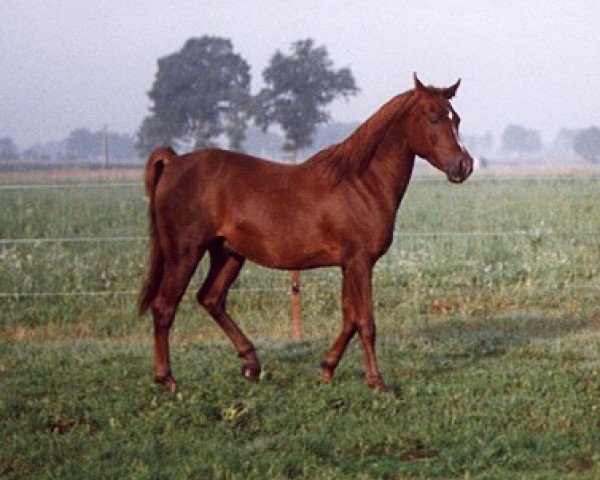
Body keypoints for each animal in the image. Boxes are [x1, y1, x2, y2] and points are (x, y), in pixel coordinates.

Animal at [139, 73, 474, 392]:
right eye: (433, 116)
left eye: (456, 118)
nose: (464, 165)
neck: (361, 183)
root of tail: (174, 162)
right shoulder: (360, 263)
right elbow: (365, 322)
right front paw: (377, 382)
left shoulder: (348, 265)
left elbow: (349, 319)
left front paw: (326, 371)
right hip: (184, 253)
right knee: (164, 308)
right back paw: (167, 379)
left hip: (228, 254)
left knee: (210, 299)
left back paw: (251, 364)